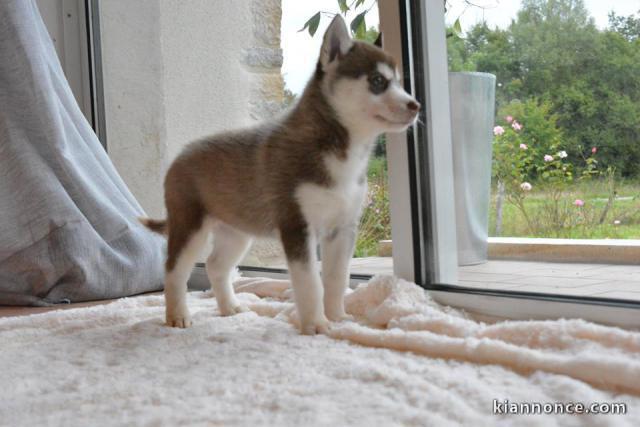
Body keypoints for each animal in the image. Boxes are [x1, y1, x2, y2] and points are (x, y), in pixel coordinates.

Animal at [140, 15, 420, 334]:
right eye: (377, 82)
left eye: (399, 83)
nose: (416, 106)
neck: (345, 151)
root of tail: (179, 155)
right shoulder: (297, 226)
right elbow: (311, 282)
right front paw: (316, 324)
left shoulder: (342, 229)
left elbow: (336, 279)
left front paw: (338, 317)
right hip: (191, 227)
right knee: (174, 269)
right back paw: (177, 315)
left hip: (236, 231)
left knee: (215, 265)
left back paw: (230, 307)